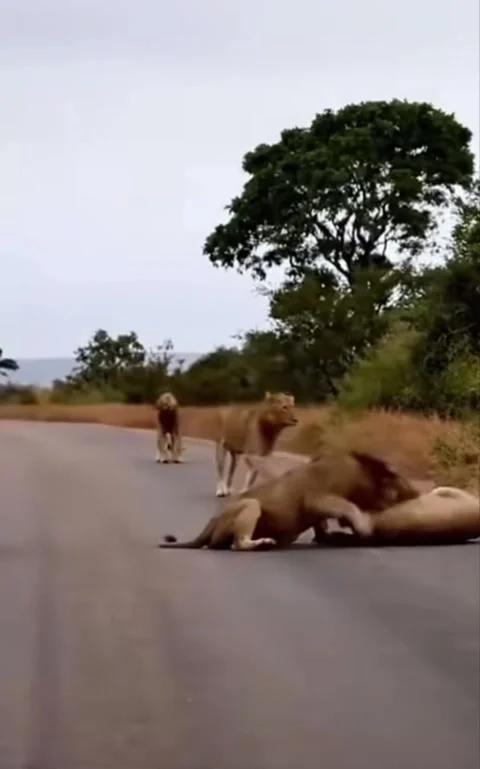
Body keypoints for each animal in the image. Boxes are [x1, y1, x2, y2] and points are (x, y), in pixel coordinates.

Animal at [158, 449, 419, 551]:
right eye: (400, 479)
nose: (417, 492)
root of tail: (212, 519)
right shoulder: (318, 498)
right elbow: (347, 507)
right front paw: (362, 527)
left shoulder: (318, 511)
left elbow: (323, 527)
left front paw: (330, 537)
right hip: (251, 505)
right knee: (237, 544)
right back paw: (263, 543)